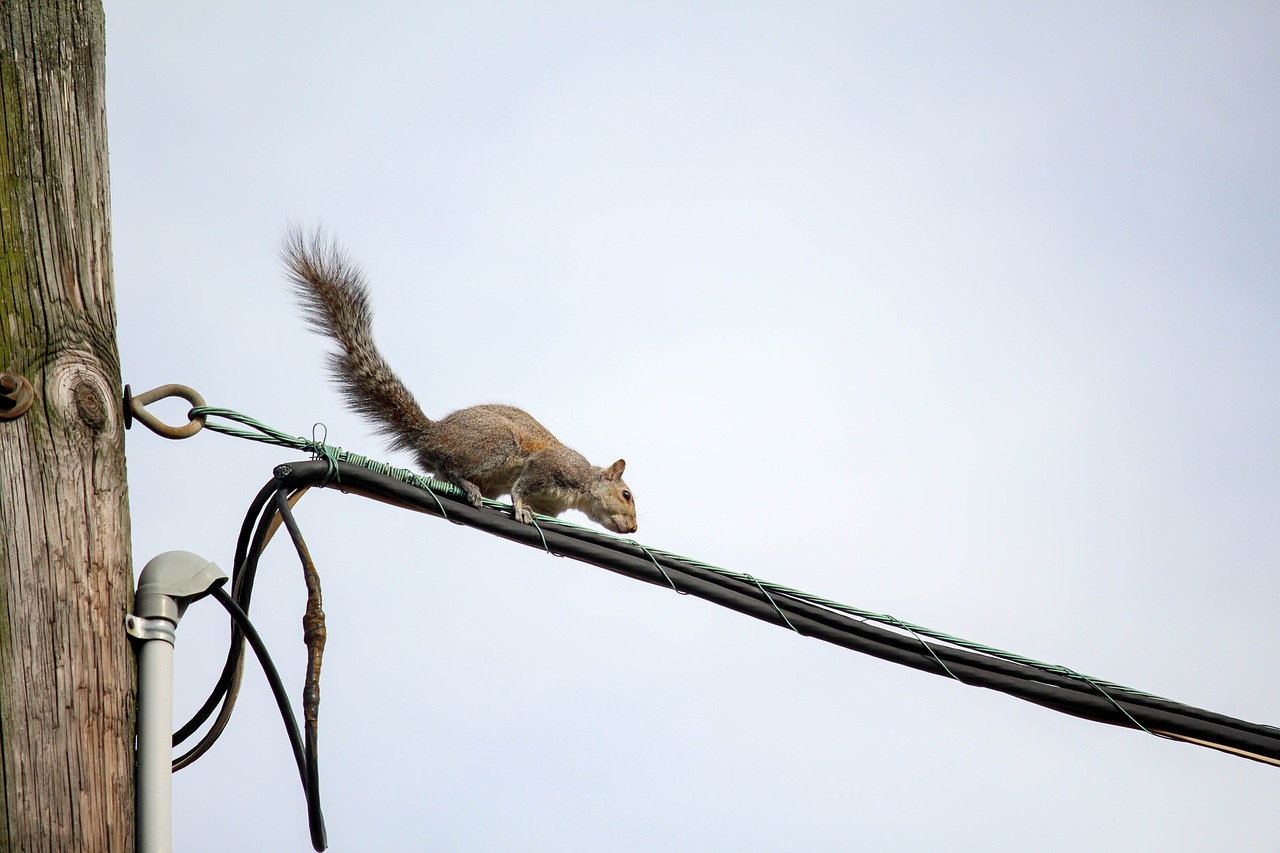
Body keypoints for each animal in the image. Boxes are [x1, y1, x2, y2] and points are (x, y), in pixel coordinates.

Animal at [282, 229, 637, 535]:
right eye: (626, 495)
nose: (634, 528)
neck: (581, 489)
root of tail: (431, 434)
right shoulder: (551, 467)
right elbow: (522, 487)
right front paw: (521, 507)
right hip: (495, 443)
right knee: (450, 467)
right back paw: (468, 487)